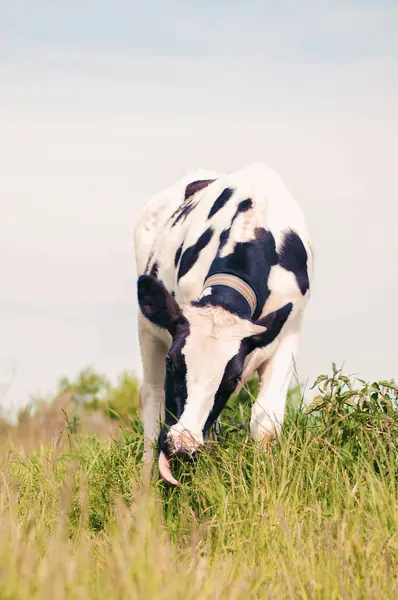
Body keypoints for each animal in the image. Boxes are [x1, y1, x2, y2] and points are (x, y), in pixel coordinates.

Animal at [135, 162, 312, 486]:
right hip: (147, 326)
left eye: (233, 378)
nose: (182, 445)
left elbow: (266, 422)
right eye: (172, 362)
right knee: (151, 398)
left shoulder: (288, 331)